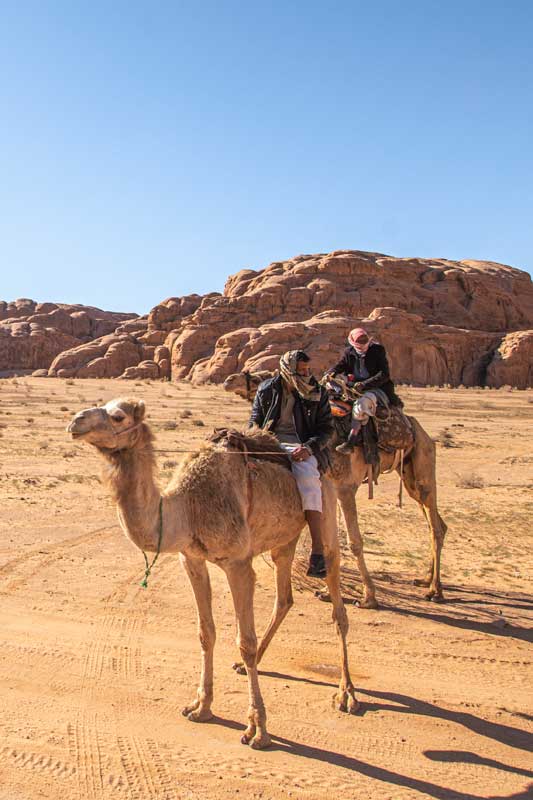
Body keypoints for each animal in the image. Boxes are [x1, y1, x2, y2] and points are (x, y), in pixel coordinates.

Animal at [66, 398, 358, 752]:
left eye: (118, 416)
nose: (76, 421)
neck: (188, 508)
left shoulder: (238, 564)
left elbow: (245, 641)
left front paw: (258, 729)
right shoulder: (191, 559)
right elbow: (206, 633)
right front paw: (201, 706)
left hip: (325, 510)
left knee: (337, 602)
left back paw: (347, 694)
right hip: (284, 539)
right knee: (284, 597)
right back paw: (253, 666)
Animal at [222, 370, 446, 608]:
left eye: (257, 378)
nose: (228, 381)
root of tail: (418, 429)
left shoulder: (345, 487)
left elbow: (354, 542)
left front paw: (368, 597)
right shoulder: (328, 488)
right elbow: (331, 541)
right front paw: (327, 591)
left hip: (422, 464)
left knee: (435, 525)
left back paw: (435, 590)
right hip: (409, 476)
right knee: (435, 523)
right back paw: (425, 579)